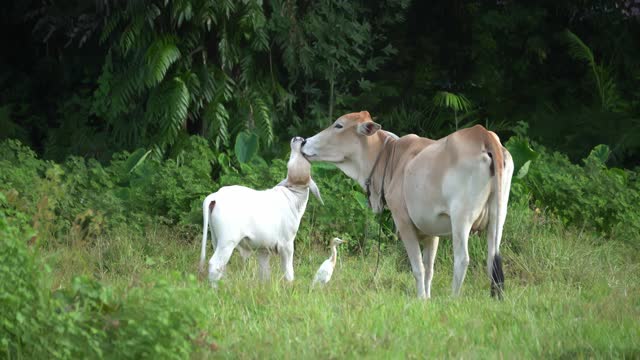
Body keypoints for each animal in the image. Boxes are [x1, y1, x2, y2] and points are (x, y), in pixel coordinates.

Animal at [302, 111, 516, 300]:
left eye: (339, 125)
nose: (303, 142)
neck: (391, 158)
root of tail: (484, 135)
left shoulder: (403, 222)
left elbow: (418, 268)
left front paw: (420, 298)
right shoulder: (432, 232)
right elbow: (429, 269)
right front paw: (427, 298)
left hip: (461, 219)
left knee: (462, 260)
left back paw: (453, 298)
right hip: (498, 218)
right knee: (492, 260)